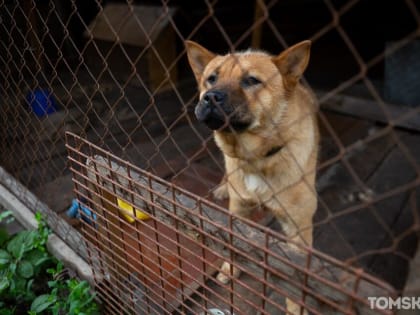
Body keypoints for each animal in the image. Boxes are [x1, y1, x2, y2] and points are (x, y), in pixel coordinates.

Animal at [185, 40, 320, 314]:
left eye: (251, 81)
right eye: (211, 79)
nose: (210, 97)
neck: (257, 158)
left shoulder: (299, 229)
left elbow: (297, 278)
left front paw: (294, 308)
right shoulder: (238, 209)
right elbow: (232, 244)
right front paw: (230, 269)